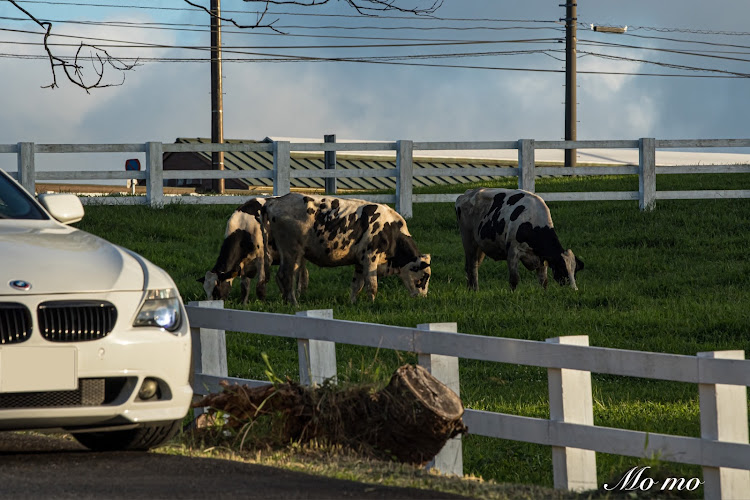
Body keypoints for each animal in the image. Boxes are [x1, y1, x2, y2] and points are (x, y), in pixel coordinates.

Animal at [264, 193, 432, 304]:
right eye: (424, 277)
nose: (423, 298)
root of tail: (276, 202)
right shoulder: (370, 257)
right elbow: (372, 285)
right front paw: (371, 304)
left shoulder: (360, 261)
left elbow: (356, 285)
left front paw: (353, 303)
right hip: (291, 251)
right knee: (285, 276)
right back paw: (293, 303)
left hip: (294, 255)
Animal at [456, 187, 584, 290]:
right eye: (562, 269)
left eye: (575, 271)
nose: (574, 289)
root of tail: (467, 193)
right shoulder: (513, 252)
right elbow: (514, 280)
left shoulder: (542, 258)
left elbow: (543, 281)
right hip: (468, 241)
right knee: (472, 267)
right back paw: (475, 290)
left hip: (480, 247)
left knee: (471, 267)